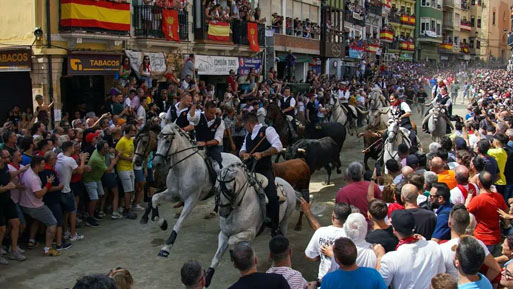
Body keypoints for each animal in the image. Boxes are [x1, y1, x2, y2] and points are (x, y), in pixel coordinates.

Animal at [150, 121, 242, 256]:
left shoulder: (191, 199)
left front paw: (166, 247)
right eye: (158, 139)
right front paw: (162, 224)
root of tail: (237, 158)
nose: (156, 163)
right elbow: (154, 198)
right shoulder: (173, 194)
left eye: (167, 141)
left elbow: (179, 223)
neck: (183, 168)